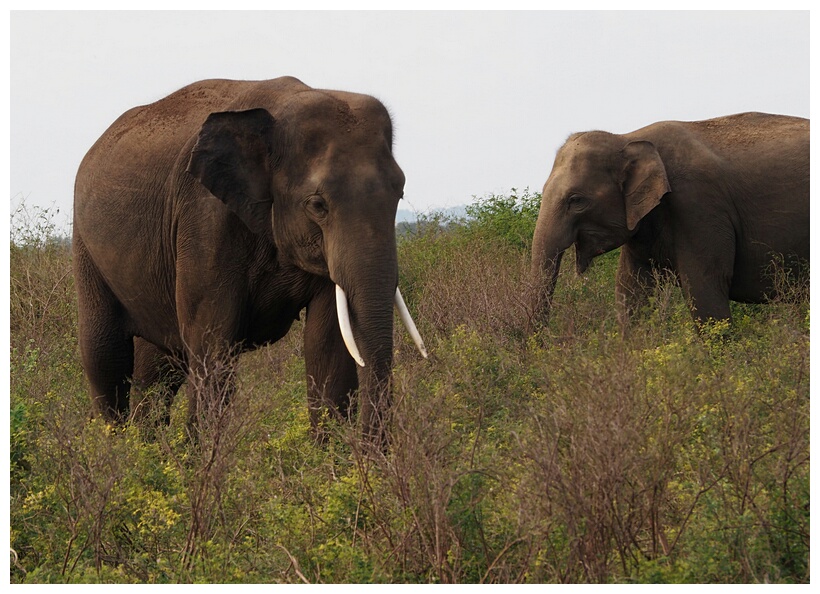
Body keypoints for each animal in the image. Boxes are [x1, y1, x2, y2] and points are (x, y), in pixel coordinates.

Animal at [73, 77, 426, 440]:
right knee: (104, 353)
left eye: (399, 193)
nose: (374, 451)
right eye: (317, 205)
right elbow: (213, 342)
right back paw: (118, 448)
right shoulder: (205, 219)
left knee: (159, 364)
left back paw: (147, 446)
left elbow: (328, 346)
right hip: (86, 244)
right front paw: (203, 456)